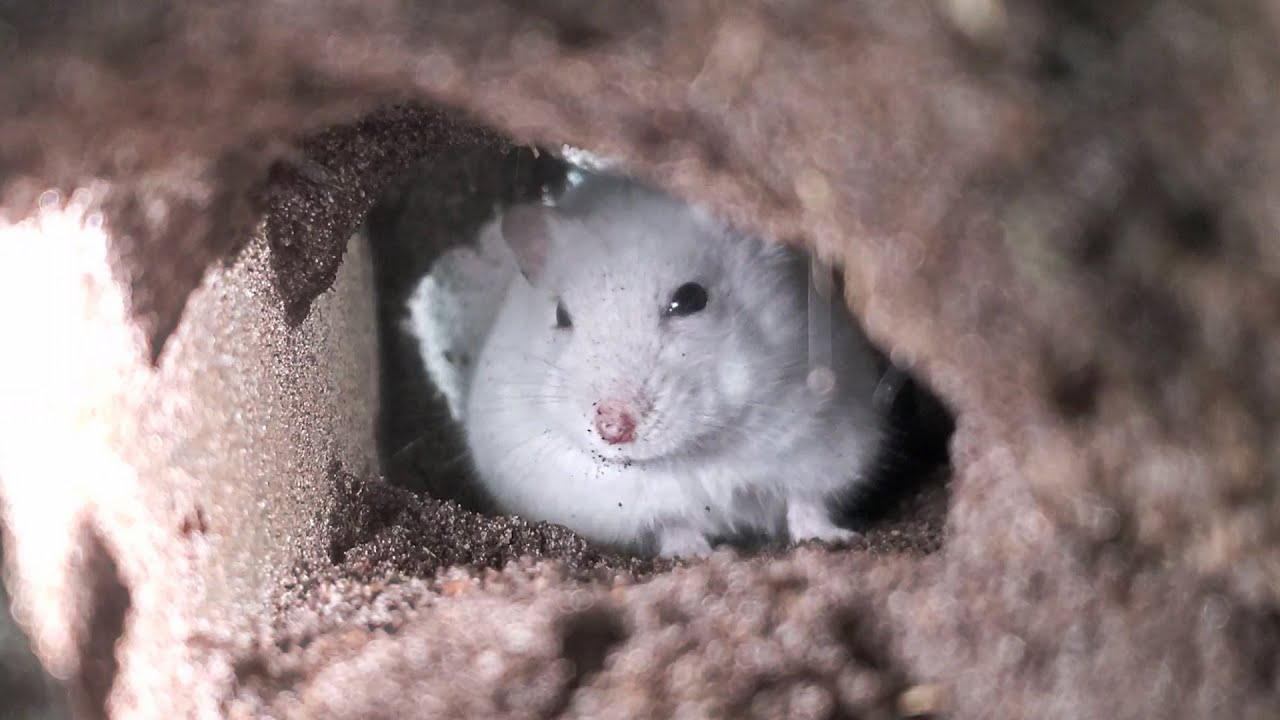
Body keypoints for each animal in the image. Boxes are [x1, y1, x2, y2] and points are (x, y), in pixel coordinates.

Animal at [463, 172, 885, 557]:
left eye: (691, 298)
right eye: (561, 315)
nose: (612, 428)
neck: (699, 448)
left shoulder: (824, 443)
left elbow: (807, 501)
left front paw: (831, 539)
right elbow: (673, 522)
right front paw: (693, 554)